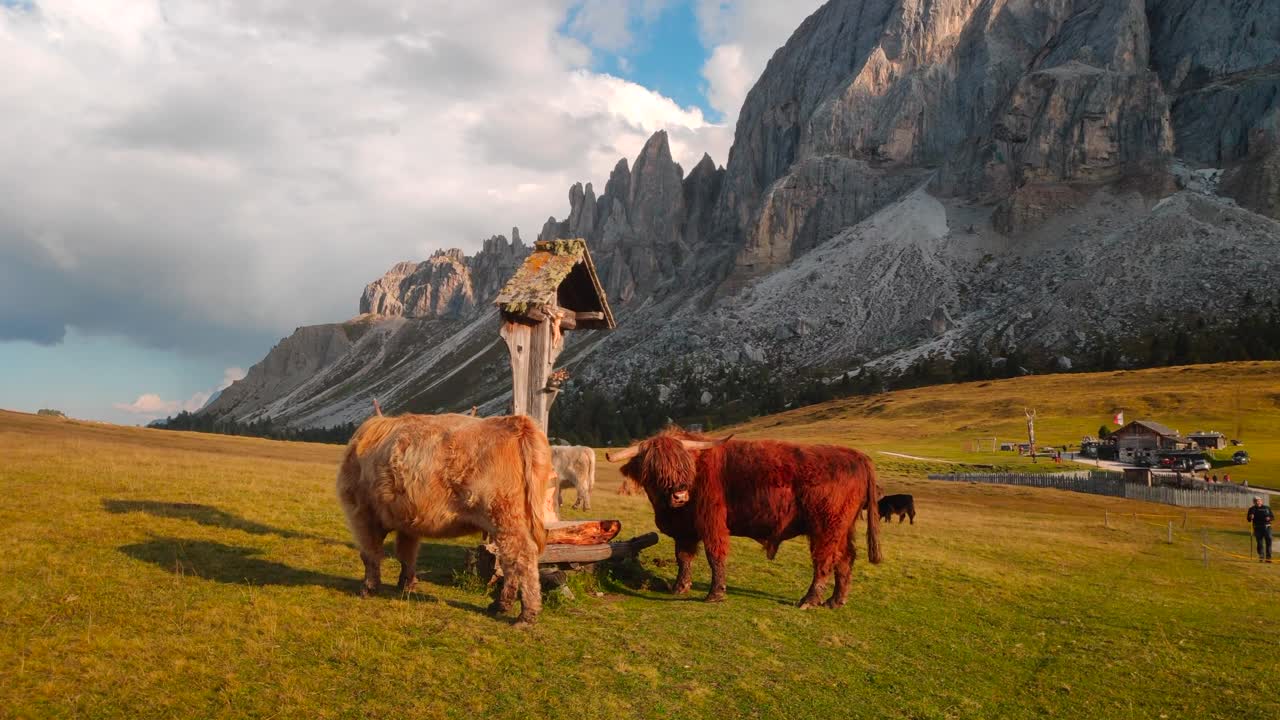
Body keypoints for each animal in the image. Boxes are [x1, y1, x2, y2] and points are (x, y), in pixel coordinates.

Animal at [336, 412, 552, 625]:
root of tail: (515, 421)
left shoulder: (362, 514)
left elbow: (370, 553)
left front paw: (368, 587)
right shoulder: (407, 521)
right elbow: (406, 554)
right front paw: (407, 584)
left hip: (504, 516)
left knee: (522, 556)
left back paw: (526, 615)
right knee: (509, 560)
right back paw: (500, 605)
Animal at [607, 428, 882, 609]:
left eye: (684, 466)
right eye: (654, 469)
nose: (680, 494)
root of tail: (857, 456)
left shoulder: (712, 523)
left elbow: (715, 555)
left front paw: (716, 593)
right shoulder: (685, 530)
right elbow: (683, 558)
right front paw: (679, 587)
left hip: (826, 527)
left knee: (824, 561)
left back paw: (809, 600)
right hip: (842, 529)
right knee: (845, 559)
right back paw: (835, 601)